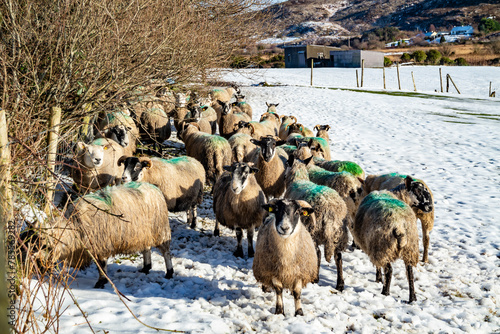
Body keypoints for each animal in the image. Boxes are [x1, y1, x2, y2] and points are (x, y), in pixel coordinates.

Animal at [284, 155, 350, 290]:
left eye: (287, 163)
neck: (298, 179)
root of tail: (330, 211)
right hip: (339, 233)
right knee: (338, 257)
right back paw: (340, 284)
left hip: (313, 230)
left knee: (318, 254)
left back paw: (315, 278)